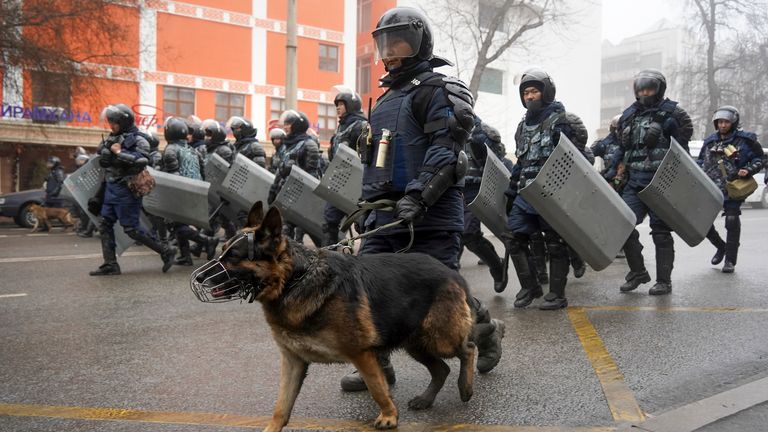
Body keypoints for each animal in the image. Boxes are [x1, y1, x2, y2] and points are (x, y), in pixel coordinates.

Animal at [194, 203, 474, 432]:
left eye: (233, 257)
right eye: (222, 251)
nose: (198, 278)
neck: (295, 279)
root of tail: (449, 272)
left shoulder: (361, 354)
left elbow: (378, 389)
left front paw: (389, 417)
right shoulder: (292, 361)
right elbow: (281, 406)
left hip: (439, 338)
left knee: (468, 348)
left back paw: (466, 386)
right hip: (415, 343)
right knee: (441, 369)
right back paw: (427, 399)